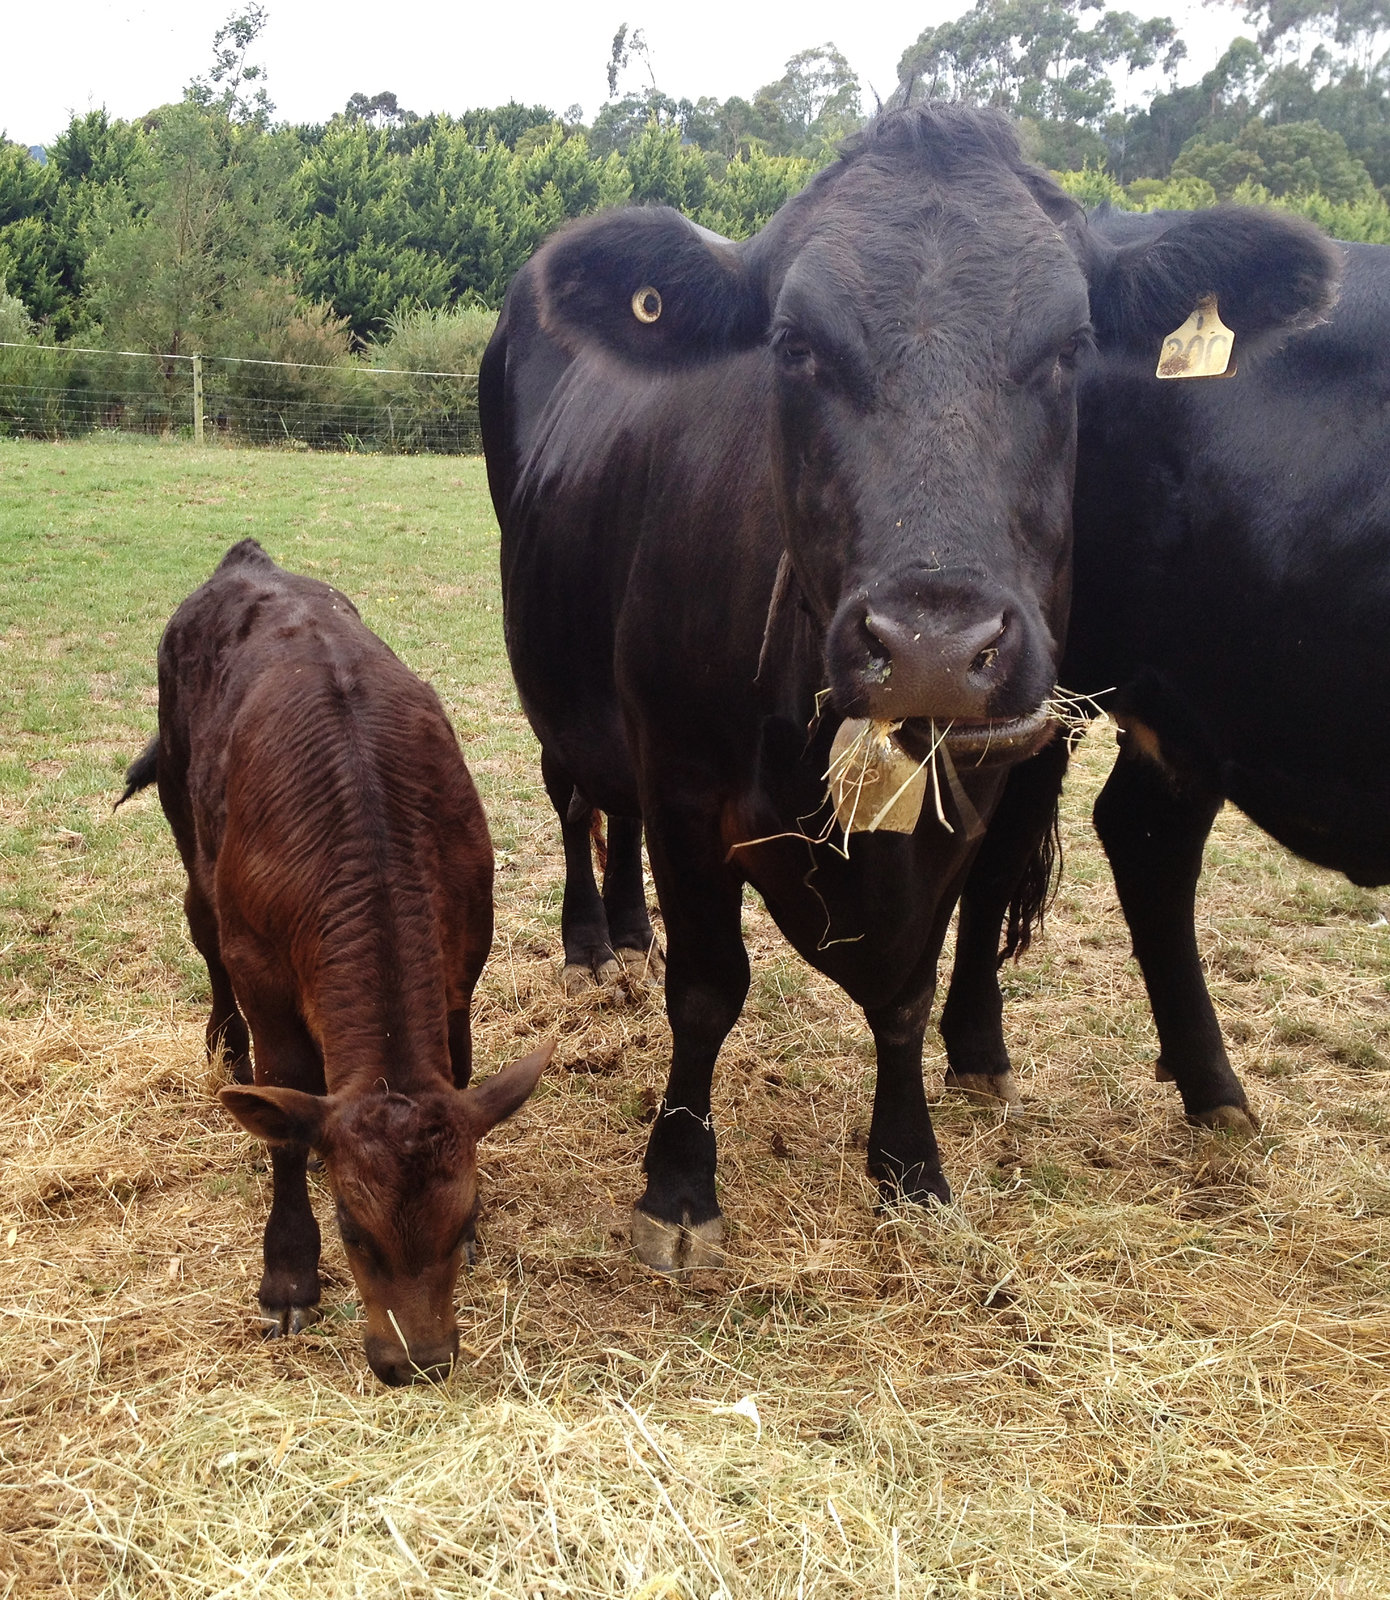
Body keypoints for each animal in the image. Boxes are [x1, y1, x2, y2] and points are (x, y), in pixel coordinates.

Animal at [122, 544, 547, 1382]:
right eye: (352, 1228)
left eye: (464, 1218)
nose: (418, 1360)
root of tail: (243, 557)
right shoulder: (260, 966)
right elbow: (285, 1114)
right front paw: (288, 1273)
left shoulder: (464, 960)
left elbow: (458, 1063)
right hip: (186, 821)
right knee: (199, 924)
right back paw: (226, 1048)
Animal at [476, 106, 1337, 1267]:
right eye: (793, 346)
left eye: (1071, 350)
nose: (935, 644)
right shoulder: (686, 784)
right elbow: (706, 988)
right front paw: (679, 1186)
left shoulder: (967, 805)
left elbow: (905, 990)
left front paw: (910, 1167)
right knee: (577, 799)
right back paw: (589, 944)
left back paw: (623, 933)